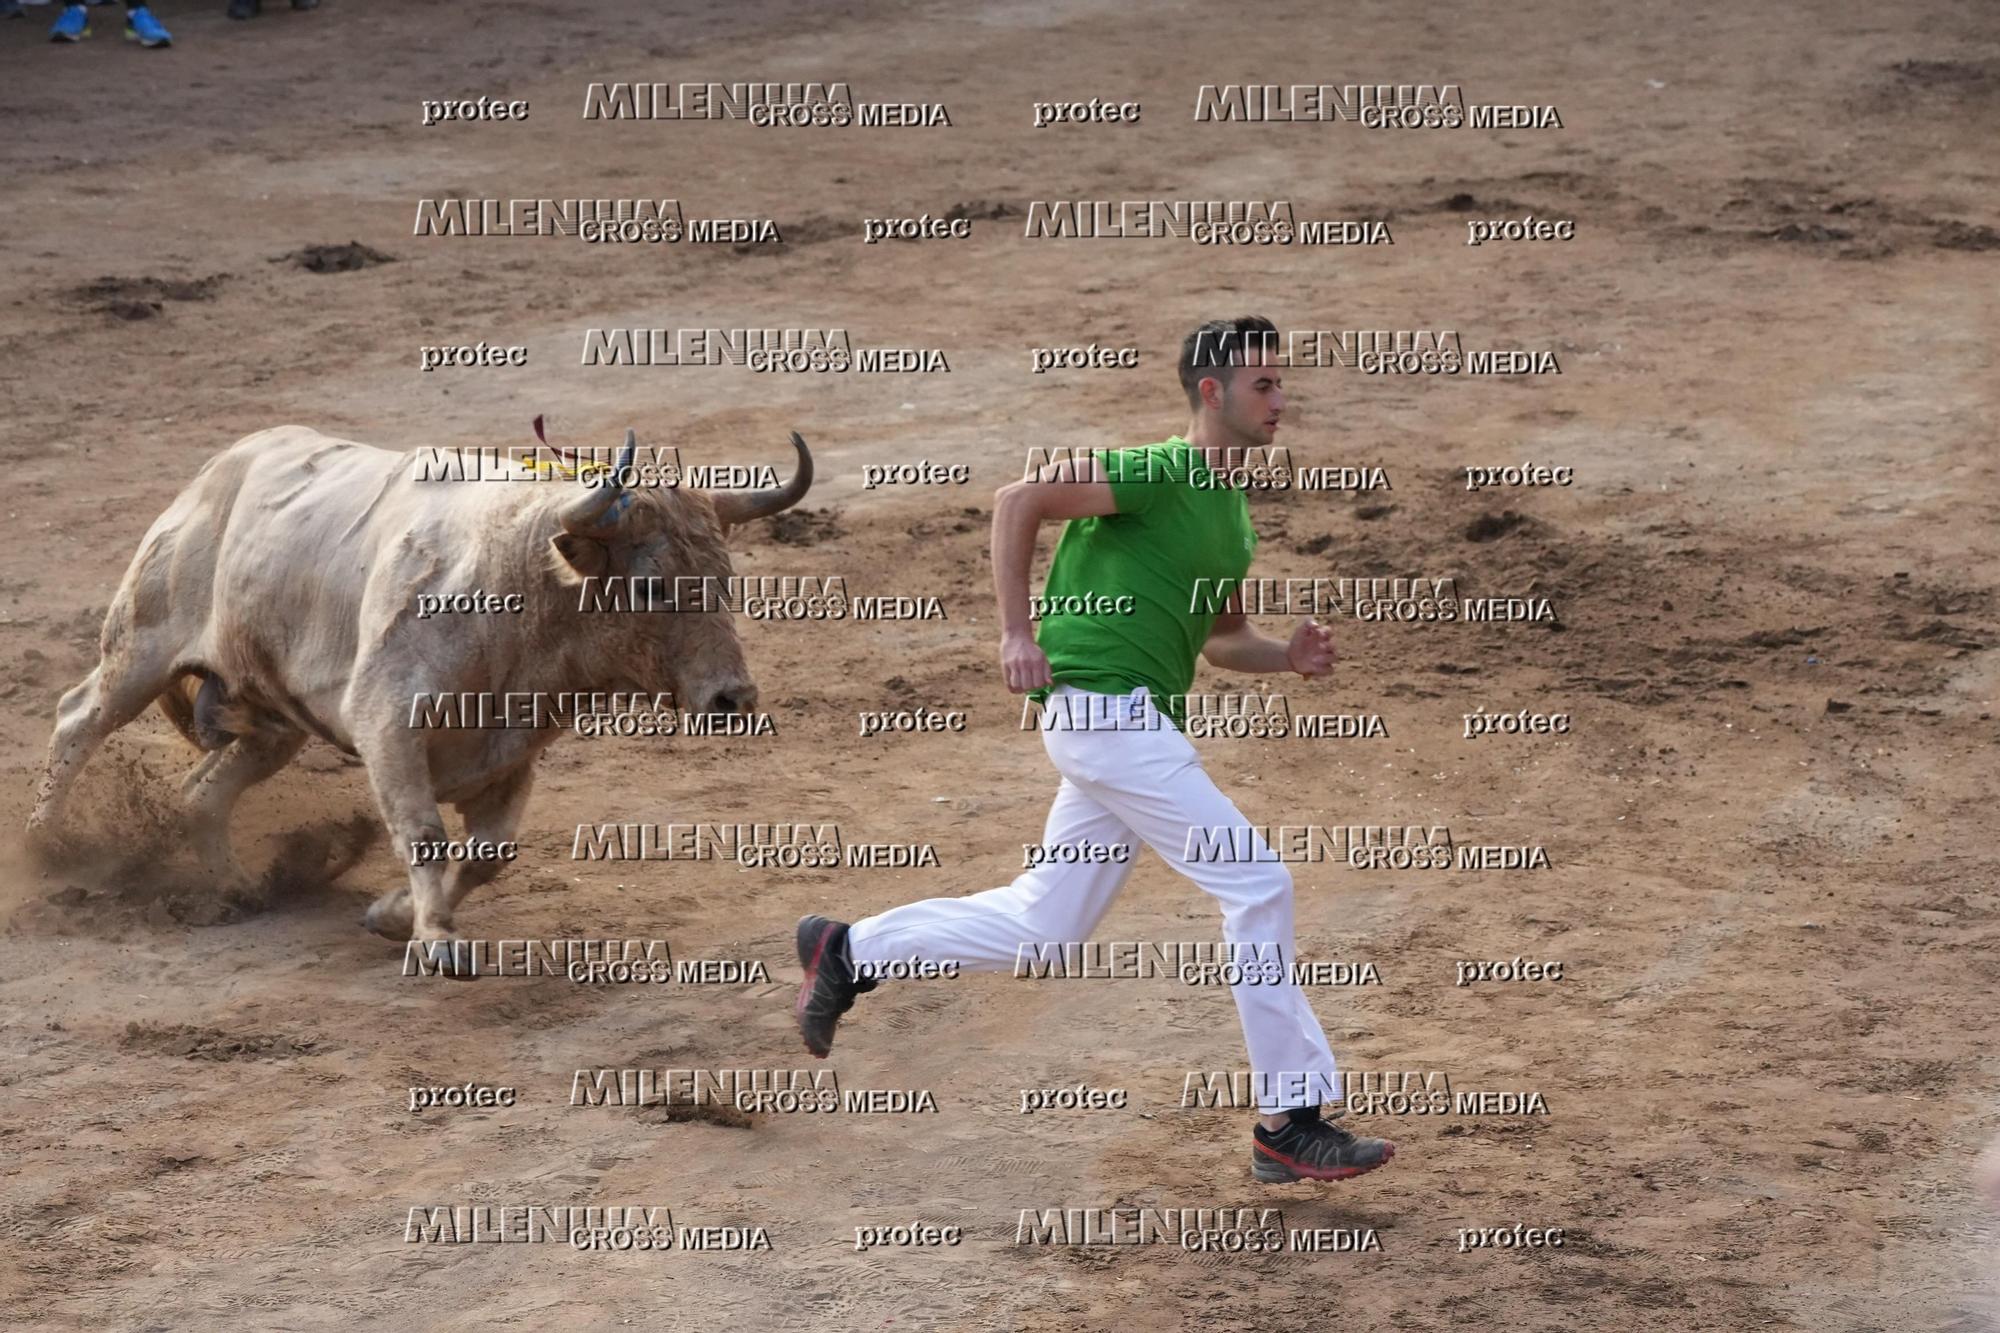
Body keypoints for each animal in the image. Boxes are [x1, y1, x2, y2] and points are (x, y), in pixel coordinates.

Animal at [21, 420, 804, 960]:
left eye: (726, 579)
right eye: (650, 585)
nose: (733, 699)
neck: (516, 586)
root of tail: (219, 471)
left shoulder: (513, 752)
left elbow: (488, 855)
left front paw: (394, 916)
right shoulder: (388, 725)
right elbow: (425, 833)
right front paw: (436, 941)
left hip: (273, 718)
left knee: (202, 792)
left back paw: (238, 887)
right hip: (142, 646)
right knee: (79, 719)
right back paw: (43, 851)